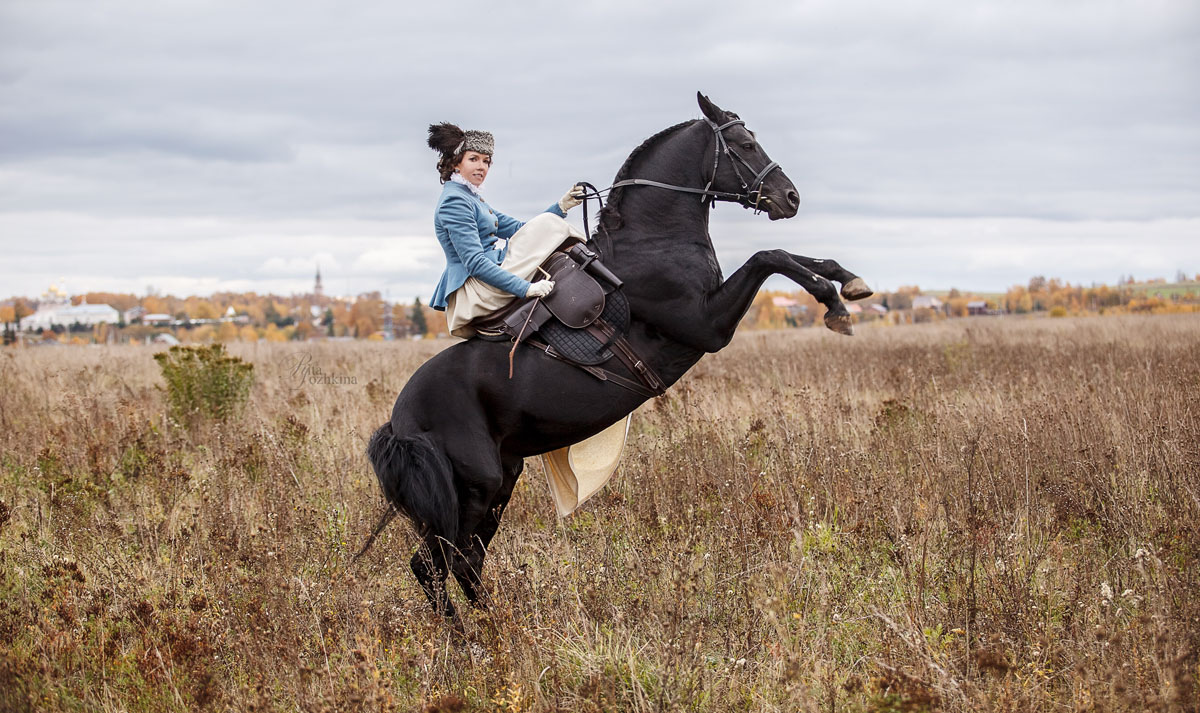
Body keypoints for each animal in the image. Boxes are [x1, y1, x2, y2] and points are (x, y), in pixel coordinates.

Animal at [364, 93, 873, 614]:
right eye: (745, 143)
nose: (790, 198)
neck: (652, 240)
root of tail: (399, 420)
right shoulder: (707, 325)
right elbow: (771, 256)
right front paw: (834, 306)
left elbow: (798, 257)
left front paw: (850, 282)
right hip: (473, 487)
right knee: (436, 564)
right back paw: (475, 634)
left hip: (501, 478)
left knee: (464, 561)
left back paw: (495, 625)